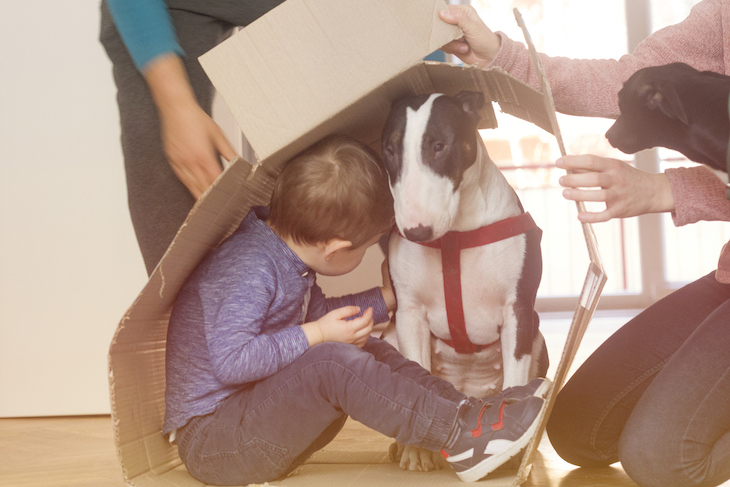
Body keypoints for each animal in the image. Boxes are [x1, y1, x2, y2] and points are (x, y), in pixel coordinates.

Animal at [382, 91, 544, 472]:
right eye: (390, 150)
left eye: (439, 146)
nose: (416, 231)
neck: (456, 235)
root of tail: (468, 396)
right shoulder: (410, 314)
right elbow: (417, 376)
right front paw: (417, 451)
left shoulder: (517, 310)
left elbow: (515, 379)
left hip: (539, 339)